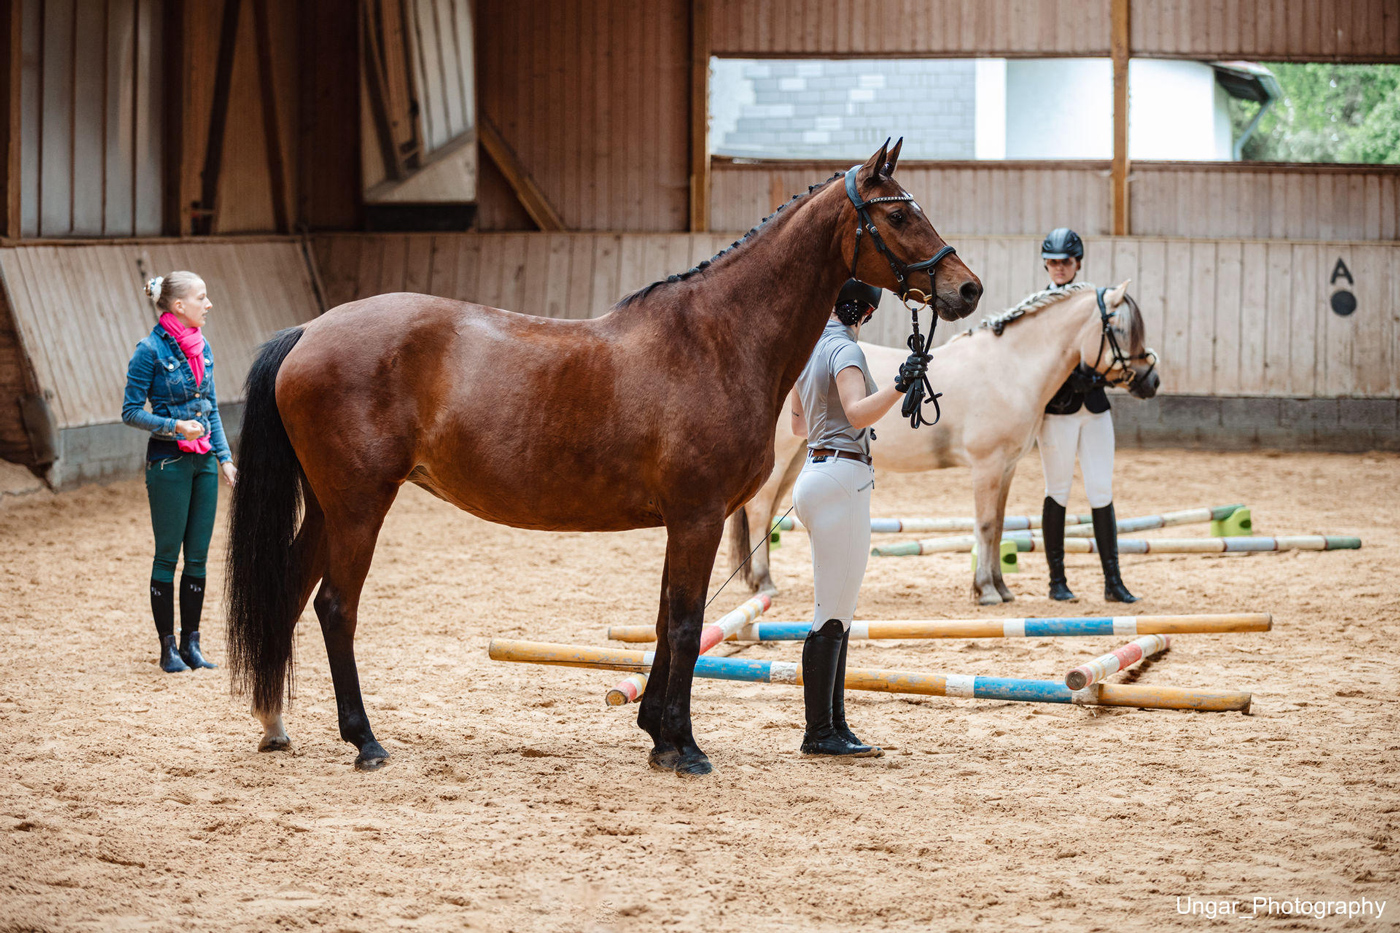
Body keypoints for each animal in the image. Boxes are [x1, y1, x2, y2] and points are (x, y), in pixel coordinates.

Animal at [225, 141, 983, 776]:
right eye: (898, 213)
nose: (968, 288)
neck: (718, 340)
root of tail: (308, 330)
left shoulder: (689, 520)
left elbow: (666, 620)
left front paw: (658, 735)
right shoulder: (698, 515)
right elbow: (684, 623)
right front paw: (686, 747)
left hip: (329, 508)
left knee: (288, 592)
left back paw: (274, 724)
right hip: (359, 505)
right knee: (335, 607)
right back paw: (365, 740)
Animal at [728, 282, 1160, 606]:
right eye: (1121, 330)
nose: (1151, 381)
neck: (1011, 367)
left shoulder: (1006, 468)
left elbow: (998, 526)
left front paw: (1001, 587)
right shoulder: (986, 466)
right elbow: (984, 525)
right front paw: (985, 591)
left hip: (799, 457)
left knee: (768, 512)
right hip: (784, 455)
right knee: (760, 509)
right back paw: (765, 582)